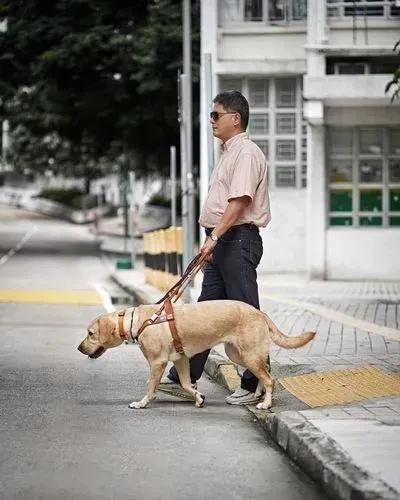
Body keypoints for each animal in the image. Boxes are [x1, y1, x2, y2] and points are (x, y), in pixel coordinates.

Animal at [77, 300, 316, 410]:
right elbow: (185, 384)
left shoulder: (157, 363)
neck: (138, 321)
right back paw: (258, 393)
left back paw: (266, 403)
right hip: (238, 354)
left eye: (90, 334)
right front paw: (198, 397)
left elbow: (151, 386)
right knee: (264, 373)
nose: (79, 348)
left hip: (248, 353)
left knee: (270, 378)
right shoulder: (181, 360)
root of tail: (260, 312)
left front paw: (142, 402)